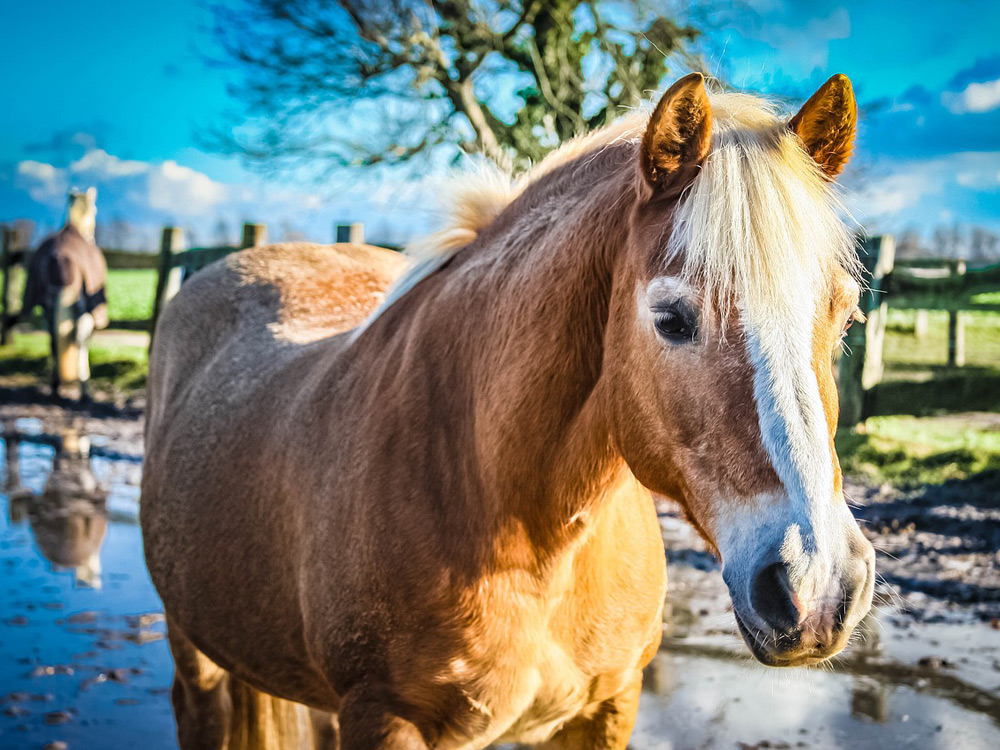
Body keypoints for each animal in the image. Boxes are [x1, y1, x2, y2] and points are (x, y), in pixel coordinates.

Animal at [20, 187, 109, 401]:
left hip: (48, 306)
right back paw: (84, 388)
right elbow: (82, 341)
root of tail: (60, 258)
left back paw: (56, 384)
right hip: (83, 308)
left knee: (54, 340)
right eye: (95, 209)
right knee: (79, 339)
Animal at [141, 73, 876, 750]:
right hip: (196, 658)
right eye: (671, 319)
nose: (817, 587)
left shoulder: (610, 706)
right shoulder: (384, 719)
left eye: (845, 316)